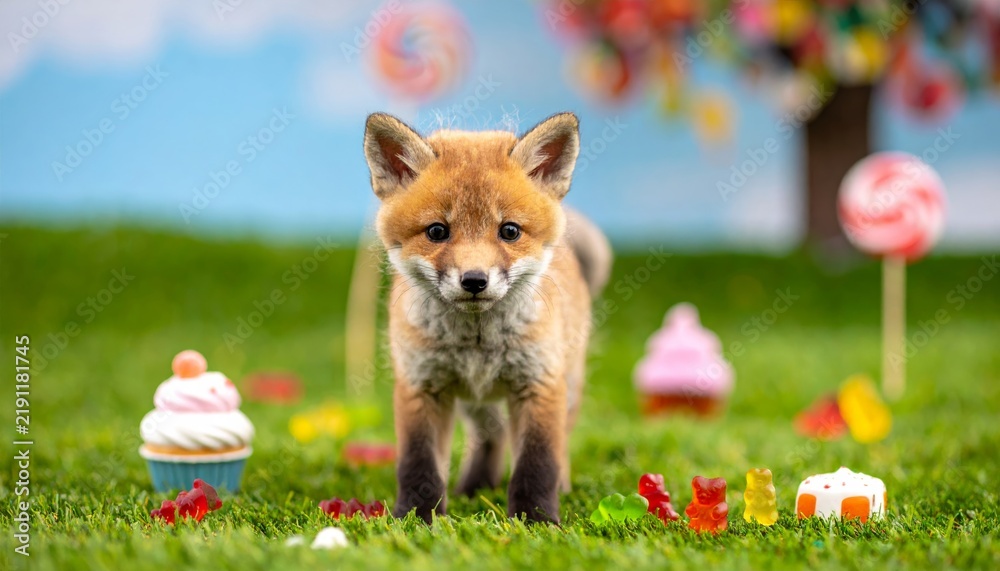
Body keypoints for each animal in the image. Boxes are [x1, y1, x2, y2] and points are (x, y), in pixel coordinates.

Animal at [362, 112, 612, 524]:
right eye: (437, 231)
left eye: (509, 231)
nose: (475, 280)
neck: (477, 345)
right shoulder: (421, 386)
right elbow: (418, 466)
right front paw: (415, 518)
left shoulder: (539, 383)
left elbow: (537, 464)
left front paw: (537, 521)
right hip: (477, 404)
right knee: (491, 437)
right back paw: (476, 486)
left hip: (568, 384)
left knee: (558, 445)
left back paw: (557, 486)